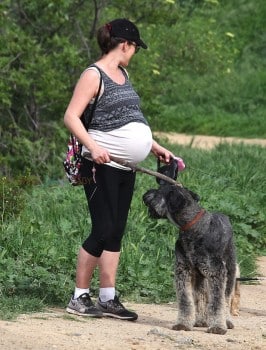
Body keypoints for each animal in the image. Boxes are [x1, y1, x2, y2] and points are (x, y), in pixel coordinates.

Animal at [143, 185, 237, 334]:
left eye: (159, 191)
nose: (145, 194)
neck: (194, 227)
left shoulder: (216, 273)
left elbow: (217, 302)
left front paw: (217, 327)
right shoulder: (183, 270)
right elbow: (185, 300)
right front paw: (183, 324)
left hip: (229, 270)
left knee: (226, 298)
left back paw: (226, 321)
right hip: (199, 276)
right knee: (200, 297)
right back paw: (200, 320)